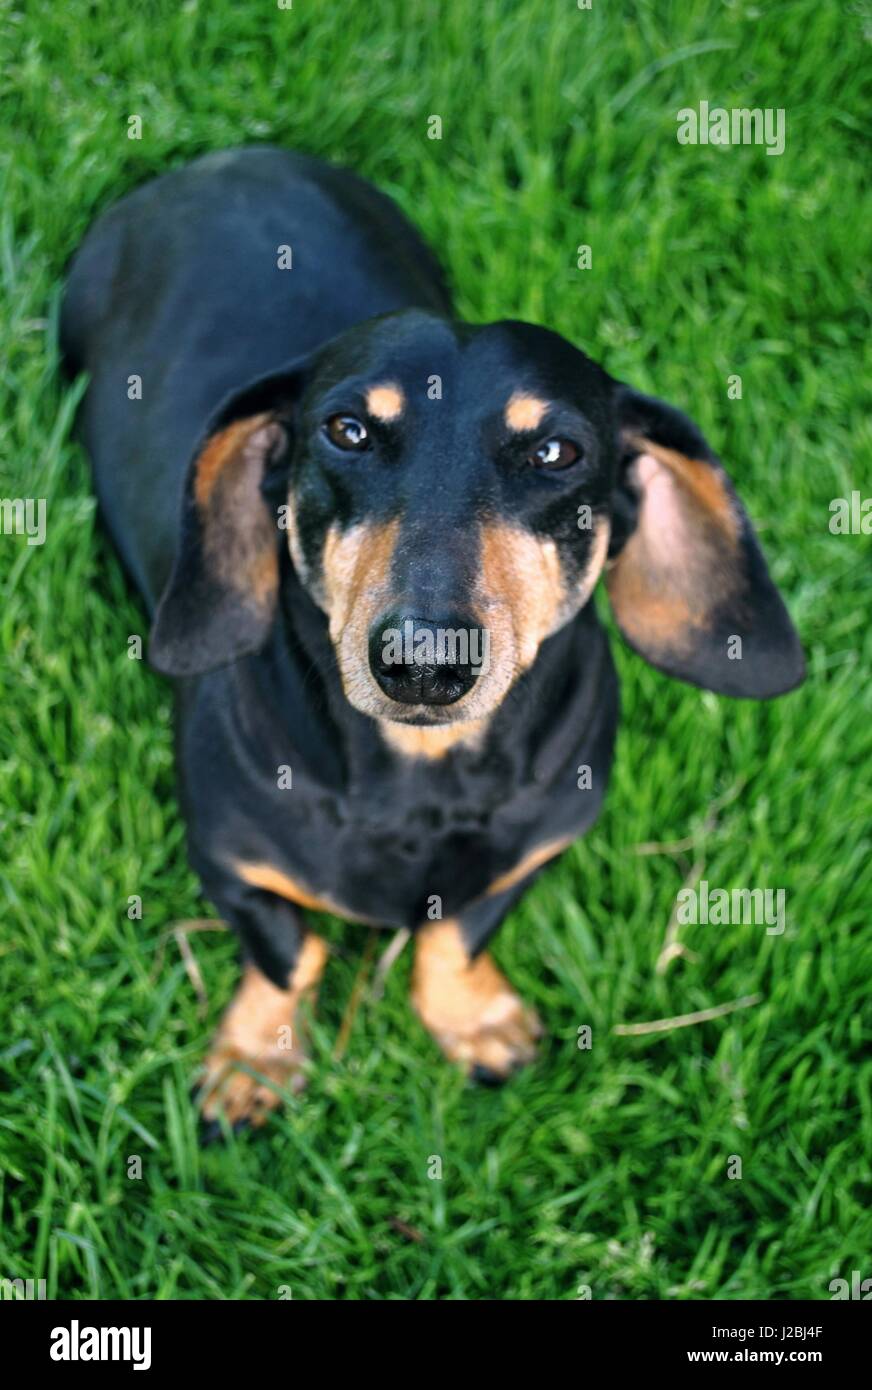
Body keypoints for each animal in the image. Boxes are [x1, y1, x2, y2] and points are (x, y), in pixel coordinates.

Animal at [61, 146, 806, 1128]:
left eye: (557, 452)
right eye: (346, 429)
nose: (422, 664)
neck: (419, 782)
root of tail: (227, 155)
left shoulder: (537, 845)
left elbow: (457, 932)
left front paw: (475, 1021)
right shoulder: (227, 861)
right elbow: (289, 953)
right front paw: (254, 1060)